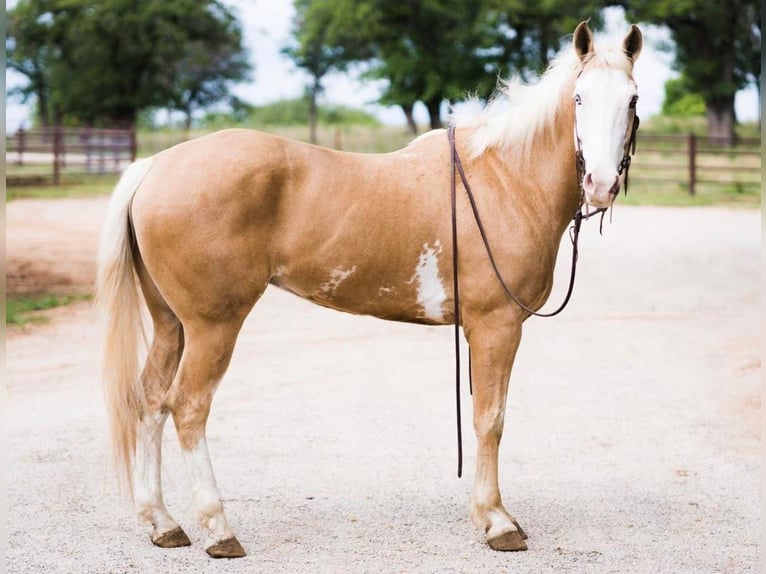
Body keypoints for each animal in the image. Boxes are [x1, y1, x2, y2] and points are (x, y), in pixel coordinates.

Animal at [99, 21, 644, 560]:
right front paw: (496, 521)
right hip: (212, 326)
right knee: (188, 407)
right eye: (578, 97)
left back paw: (163, 523)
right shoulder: (497, 327)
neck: (507, 180)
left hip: (171, 323)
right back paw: (218, 530)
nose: (599, 184)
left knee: (150, 401)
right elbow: (491, 419)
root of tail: (155, 165)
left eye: (633, 99)